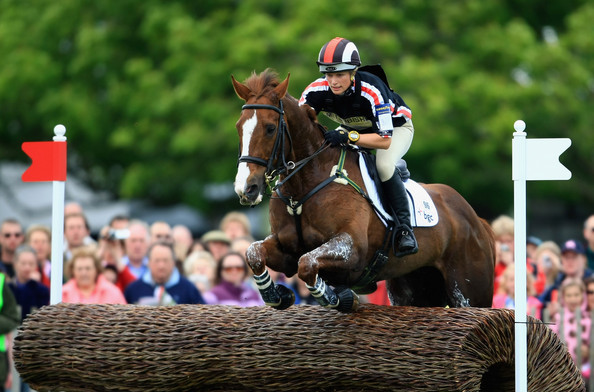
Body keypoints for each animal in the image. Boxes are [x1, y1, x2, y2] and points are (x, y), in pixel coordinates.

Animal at [229, 68, 492, 312]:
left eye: (270, 128)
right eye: (239, 127)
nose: (247, 189)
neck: (304, 186)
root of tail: (477, 220)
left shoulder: (352, 249)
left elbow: (307, 264)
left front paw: (338, 297)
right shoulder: (286, 250)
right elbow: (254, 253)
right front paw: (276, 295)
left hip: (468, 292)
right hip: (414, 287)